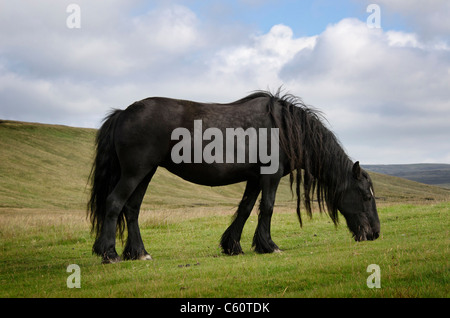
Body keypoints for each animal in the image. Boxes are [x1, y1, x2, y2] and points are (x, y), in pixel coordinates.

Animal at [87, 90, 380, 264]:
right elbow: (267, 208)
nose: (375, 233)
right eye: (366, 196)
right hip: (134, 172)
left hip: (145, 173)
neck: (284, 128)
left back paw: (139, 253)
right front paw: (269, 245)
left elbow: (246, 208)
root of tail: (123, 113)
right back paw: (110, 253)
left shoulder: (255, 178)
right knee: (115, 203)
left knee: (132, 209)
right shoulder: (270, 176)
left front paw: (232, 246)